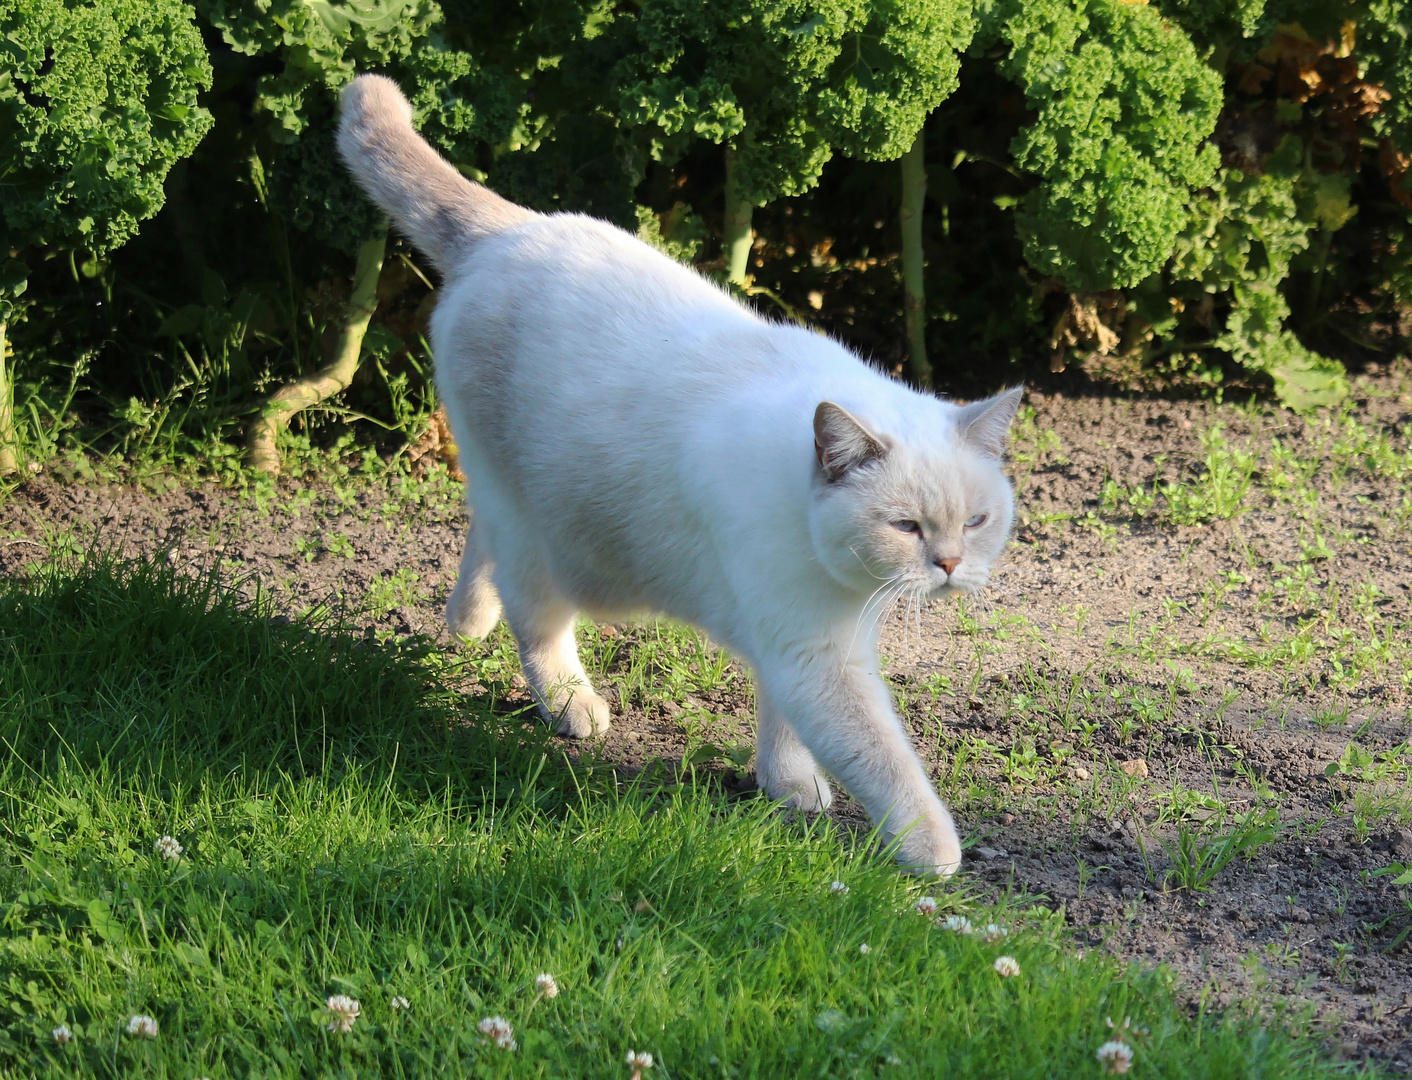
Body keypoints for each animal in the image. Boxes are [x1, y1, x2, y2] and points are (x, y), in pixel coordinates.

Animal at [341, 73, 1027, 875]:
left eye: (976, 523)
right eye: (907, 527)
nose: (949, 566)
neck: (846, 583)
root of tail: (511, 228)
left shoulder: (794, 645)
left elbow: (785, 729)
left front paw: (789, 787)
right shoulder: (814, 656)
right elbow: (881, 760)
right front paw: (935, 851)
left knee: (483, 539)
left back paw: (466, 622)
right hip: (544, 537)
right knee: (534, 614)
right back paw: (569, 704)